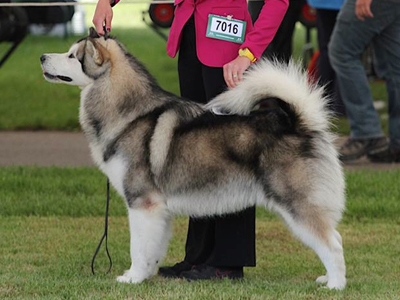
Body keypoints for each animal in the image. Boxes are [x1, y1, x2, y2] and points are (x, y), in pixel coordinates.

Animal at [41, 29, 346, 290]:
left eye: (72, 56)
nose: (42, 56)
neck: (128, 112)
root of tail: (297, 122)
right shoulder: (158, 210)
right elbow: (152, 249)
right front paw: (144, 274)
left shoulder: (142, 203)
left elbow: (137, 247)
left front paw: (132, 278)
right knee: (333, 237)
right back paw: (327, 278)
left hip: (296, 203)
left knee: (332, 243)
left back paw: (335, 284)